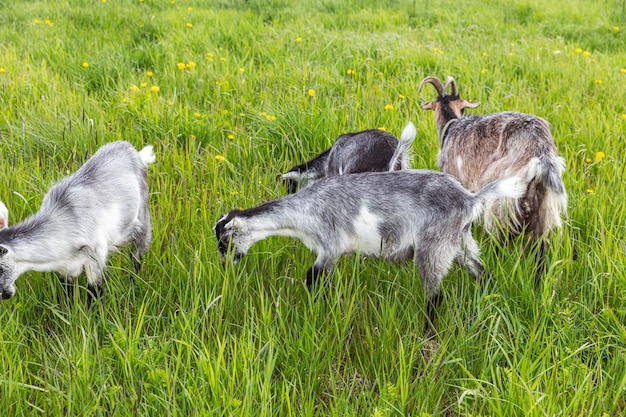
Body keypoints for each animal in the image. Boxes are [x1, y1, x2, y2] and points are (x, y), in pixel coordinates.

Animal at [0, 141, 155, 300]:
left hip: (142, 219)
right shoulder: (65, 267)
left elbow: (95, 292)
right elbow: (66, 293)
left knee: (137, 254)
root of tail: (132, 150)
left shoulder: (96, 256)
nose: (3, 295)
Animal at [213, 169, 520, 318]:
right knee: (481, 270)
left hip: (434, 245)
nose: (225, 265)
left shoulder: (329, 246)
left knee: (435, 295)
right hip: (462, 240)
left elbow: (312, 278)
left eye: (224, 244)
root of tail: (470, 198)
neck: (303, 210)